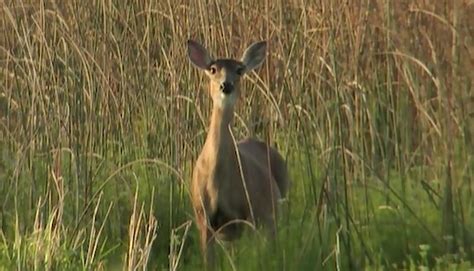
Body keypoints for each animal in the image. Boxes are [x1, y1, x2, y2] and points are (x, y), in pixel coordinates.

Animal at [188, 39, 290, 266]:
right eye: (213, 69)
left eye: (240, 70)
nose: (226, 85)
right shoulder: (203, 217)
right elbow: (210, 263)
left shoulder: (247, 213)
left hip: (273, 212)